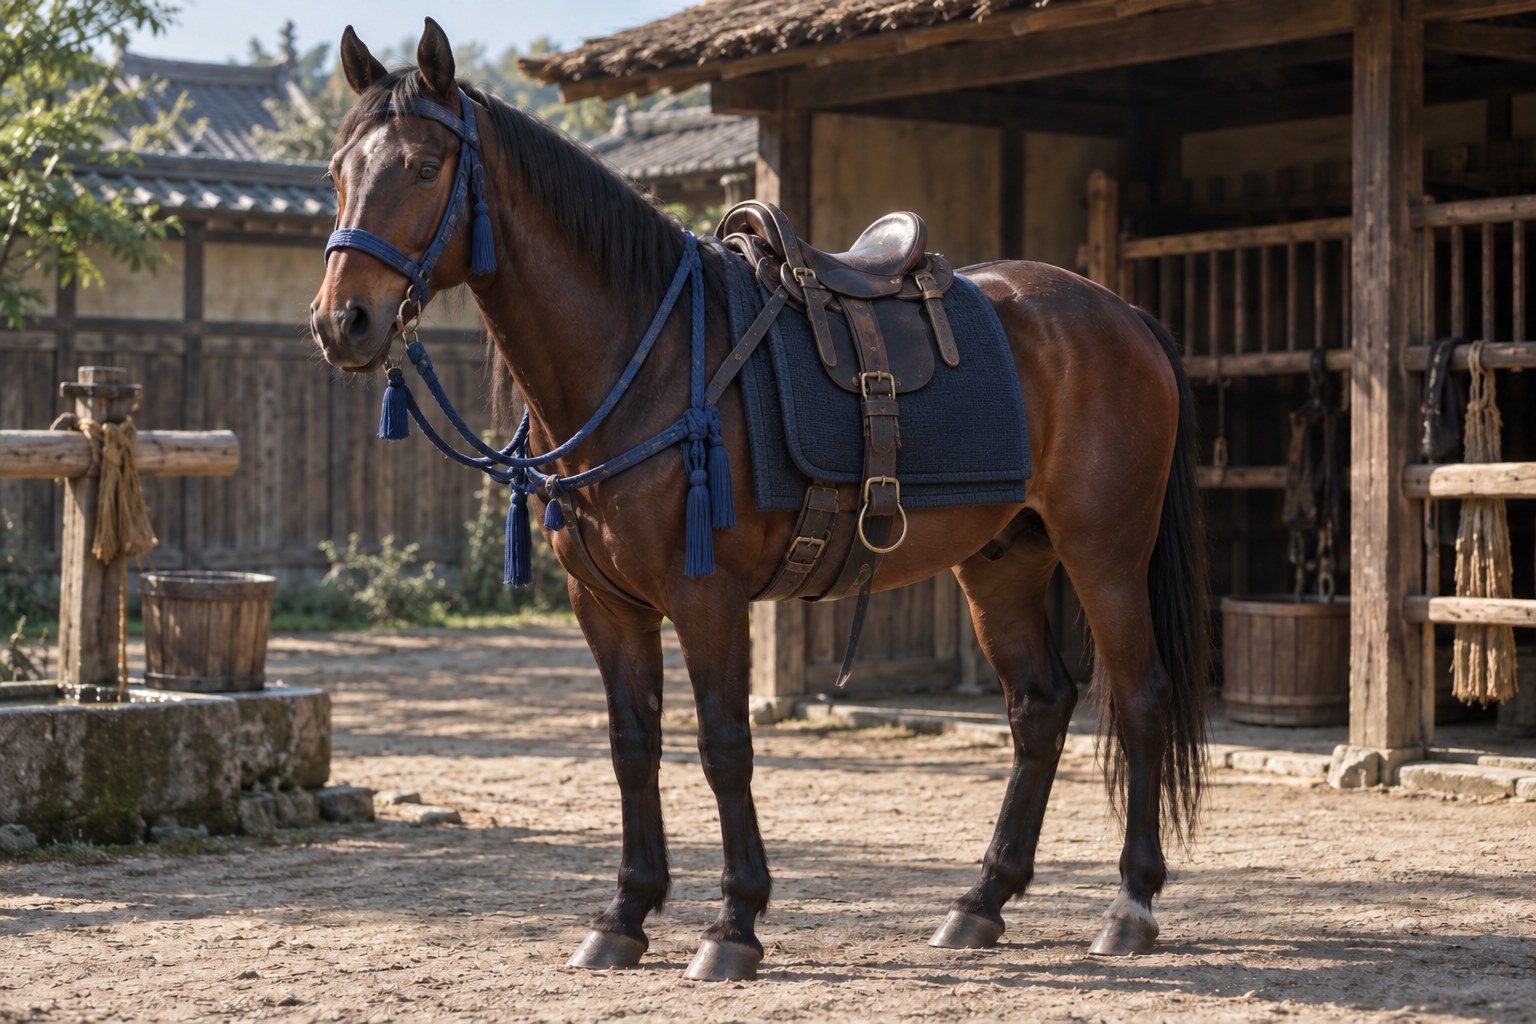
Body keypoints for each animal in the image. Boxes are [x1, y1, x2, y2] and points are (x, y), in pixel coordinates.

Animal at [310, 18, 1211, 983]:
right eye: (336, 171)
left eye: (422, 166)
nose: (341, 322)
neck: (651, 355)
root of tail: (1120, 313)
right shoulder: (606, 605)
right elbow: (634, 747)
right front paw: (625, 913)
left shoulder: (707, 597)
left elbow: (722, 747)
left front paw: (734, 922)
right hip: (1003, 560)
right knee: (1039, 708)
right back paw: (981, 902)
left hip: (1105, 554)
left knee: (1141, 698)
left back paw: (1129, 906)